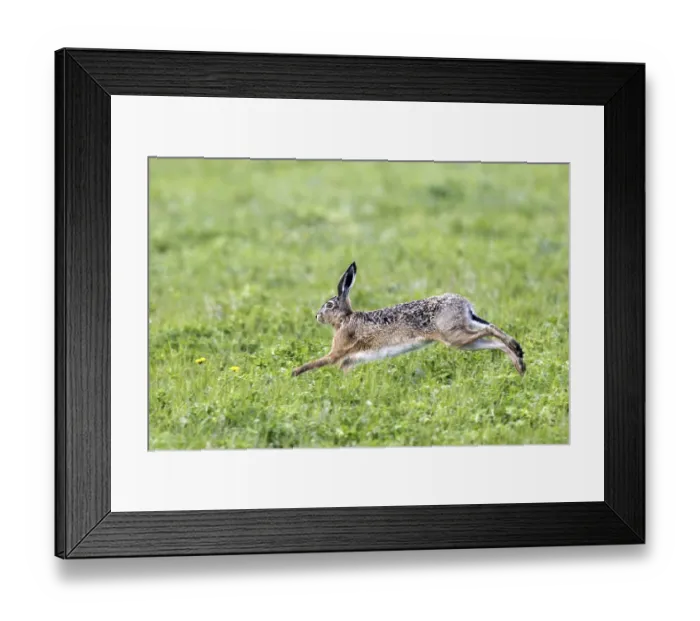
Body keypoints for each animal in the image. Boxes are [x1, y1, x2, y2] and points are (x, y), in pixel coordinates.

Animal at [291, 262, 526, 377]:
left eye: (329, 305)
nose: (317, 316)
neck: (345, 319)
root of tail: (465, 305)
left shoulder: (338, 352)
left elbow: (320, 361)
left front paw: (295, 373)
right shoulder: (349, 359)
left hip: (453, 335)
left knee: (490, 330)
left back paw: (517, 351)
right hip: (464, 337)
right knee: (493, 338)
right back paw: (519, 363)